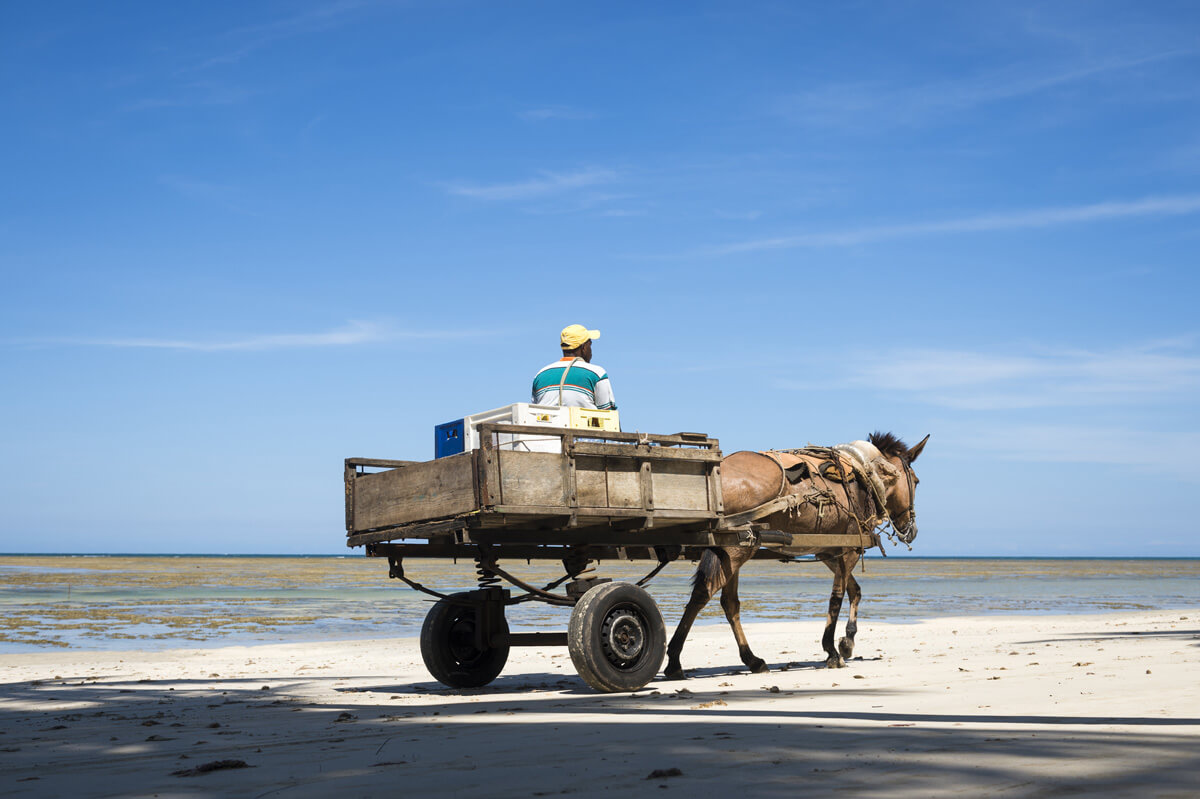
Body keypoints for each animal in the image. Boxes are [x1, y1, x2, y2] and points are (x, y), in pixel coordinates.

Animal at [667, 429, 926, 676]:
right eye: (916, 480)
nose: (912, 530)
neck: (865, 473)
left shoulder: (828, 552)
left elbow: (855, 591)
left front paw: (847, 641)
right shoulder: (848, 549)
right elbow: (837, 596)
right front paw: (832, 651)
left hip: (735, 549)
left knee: (728, 602)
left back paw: (752, 660)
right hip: (736, 549)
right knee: (704, 594)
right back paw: (674, 660)